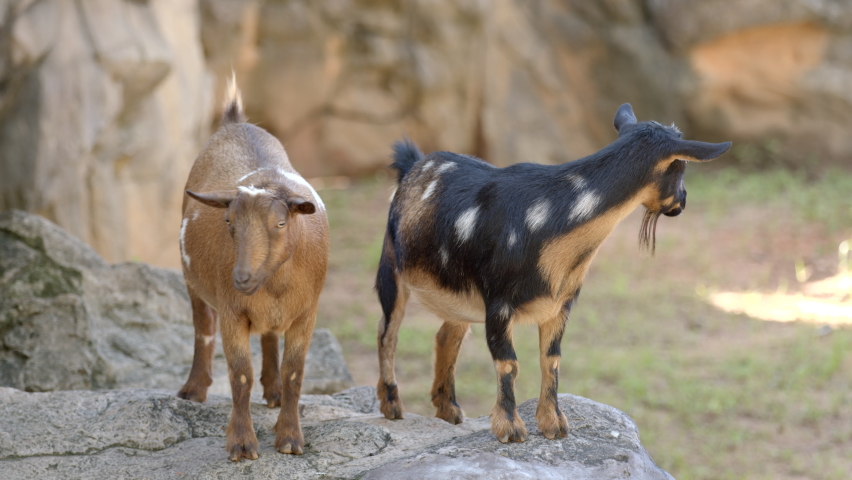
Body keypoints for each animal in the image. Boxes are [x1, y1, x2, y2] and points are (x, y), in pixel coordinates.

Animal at [176, 77, 329, 461]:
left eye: (280, 223)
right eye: (228, 221)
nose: (241, 278)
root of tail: (235, 123)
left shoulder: (307, 312)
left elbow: (294, 373)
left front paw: (290, 438)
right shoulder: (233, 311)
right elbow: (240, 375)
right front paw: (242, 444)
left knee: (270, 335)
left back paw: (273, 392)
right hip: (192, 282)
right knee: (202, 328)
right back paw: (193, 391)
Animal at [375, 104, 730, 443]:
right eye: (681, 166)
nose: (682, 202)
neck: (551, 218)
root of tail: (414, 165)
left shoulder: (560, 305)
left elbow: (552, 359)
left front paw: (554, 424)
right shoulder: (498, 303)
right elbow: (508, 363)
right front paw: (509, 428)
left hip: (458, 292)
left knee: (447, 336)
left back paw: (449, 410)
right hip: (391, 265)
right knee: (387, 331)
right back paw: (391, 405)